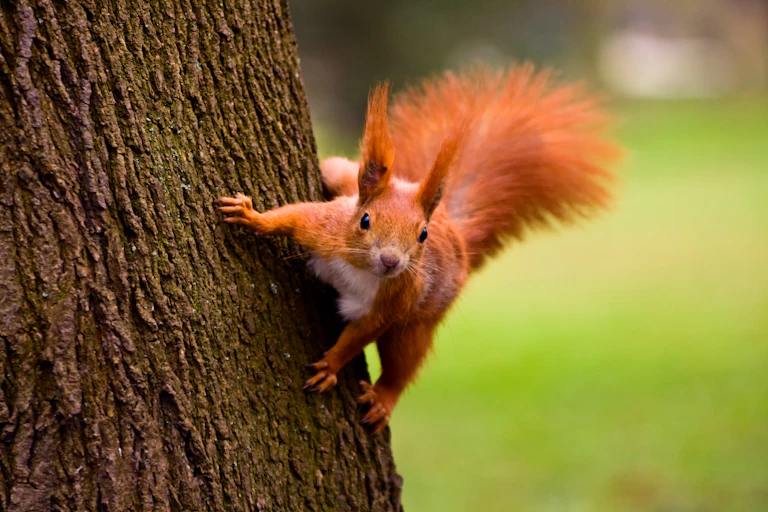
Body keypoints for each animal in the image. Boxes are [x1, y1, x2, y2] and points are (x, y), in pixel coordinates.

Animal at [216, 64, 619, 433]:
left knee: (403, 362)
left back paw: (383, 399)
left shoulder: (394, 302)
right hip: (343, 178)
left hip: (418, 323)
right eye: (365, 220)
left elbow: (360, 335)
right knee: (336, 170)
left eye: (422, 234)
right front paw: (251, 216)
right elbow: (292, 216)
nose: (391, 261)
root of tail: (456, 233)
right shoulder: (325, 229)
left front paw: (331, 366)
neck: (361, 269)